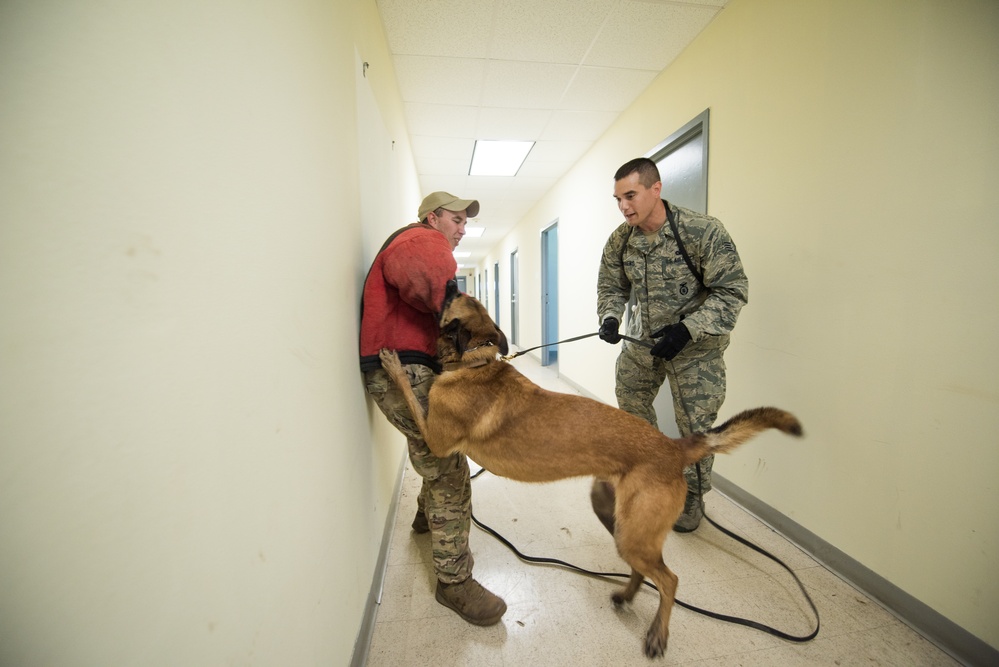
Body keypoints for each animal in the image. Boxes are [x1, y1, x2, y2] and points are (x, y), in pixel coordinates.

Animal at [376, 280, 804, 660]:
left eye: (455, 299)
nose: (449, 280)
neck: (476, 361)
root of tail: (673, 446)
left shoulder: (434, 437)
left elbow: (410, 397)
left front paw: (393, 365)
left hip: (633, 533)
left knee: (670, 579)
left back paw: (657, 634)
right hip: (614, 517)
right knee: (645, 570)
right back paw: (627, 596)